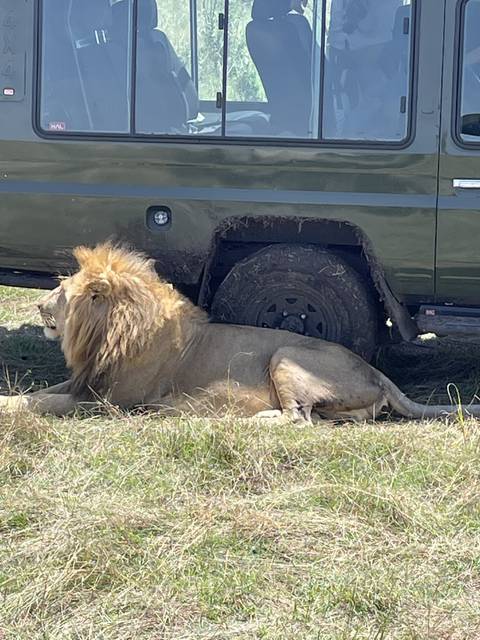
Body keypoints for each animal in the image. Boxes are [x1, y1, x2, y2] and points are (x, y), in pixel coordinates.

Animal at [0, 243, 477, 421]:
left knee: (297, 419)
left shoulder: (108, 401)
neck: (107, 332)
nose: (38, 305)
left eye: (61, 292)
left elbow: (44, 403)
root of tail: (379, 374)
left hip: (286, 356)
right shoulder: (85, 382)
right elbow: (39, 393)